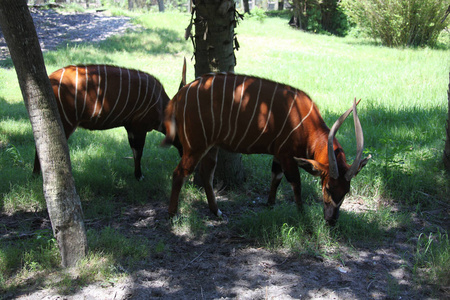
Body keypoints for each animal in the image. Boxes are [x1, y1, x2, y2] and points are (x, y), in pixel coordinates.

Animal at [33, 64, 183, 179]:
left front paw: (136, 175)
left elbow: (134, 151)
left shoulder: (130, 127)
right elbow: (139, 151)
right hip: (67, 122)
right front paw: (139, 176)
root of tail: (50, 79)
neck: (161, 104)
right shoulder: (138, 127)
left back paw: (35, 174)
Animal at [162, 73, 370, 225]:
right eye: (328, 187)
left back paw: (217, 212)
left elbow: (275, 178)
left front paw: (270, 205)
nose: (331, 220)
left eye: (346, 191)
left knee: (206, 174)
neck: (306, 123)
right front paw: (302, 215)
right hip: (196, 146)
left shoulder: (278, 155)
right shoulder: (286, 155)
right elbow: (296, 184)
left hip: (211, 147)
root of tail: (180, 95)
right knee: (179, 172)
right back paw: (172, 215)